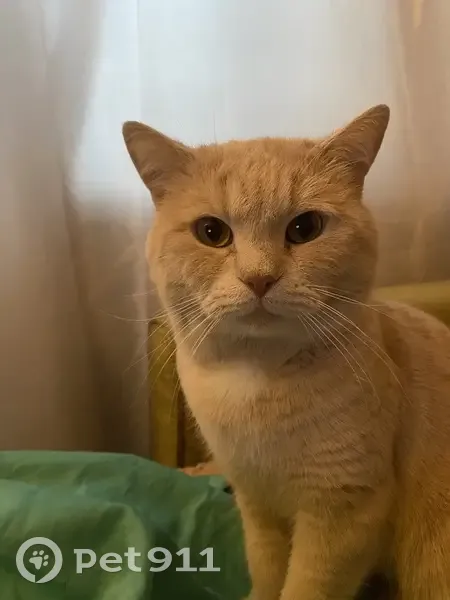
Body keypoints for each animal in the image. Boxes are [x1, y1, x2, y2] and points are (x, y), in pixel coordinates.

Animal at [123, 105, 450, 600]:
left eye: (305, 228)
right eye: (211, 232)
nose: (259, 278)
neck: (256, 385)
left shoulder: (343, 517)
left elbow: (304, 588)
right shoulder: (257, 506)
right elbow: (267, 572)